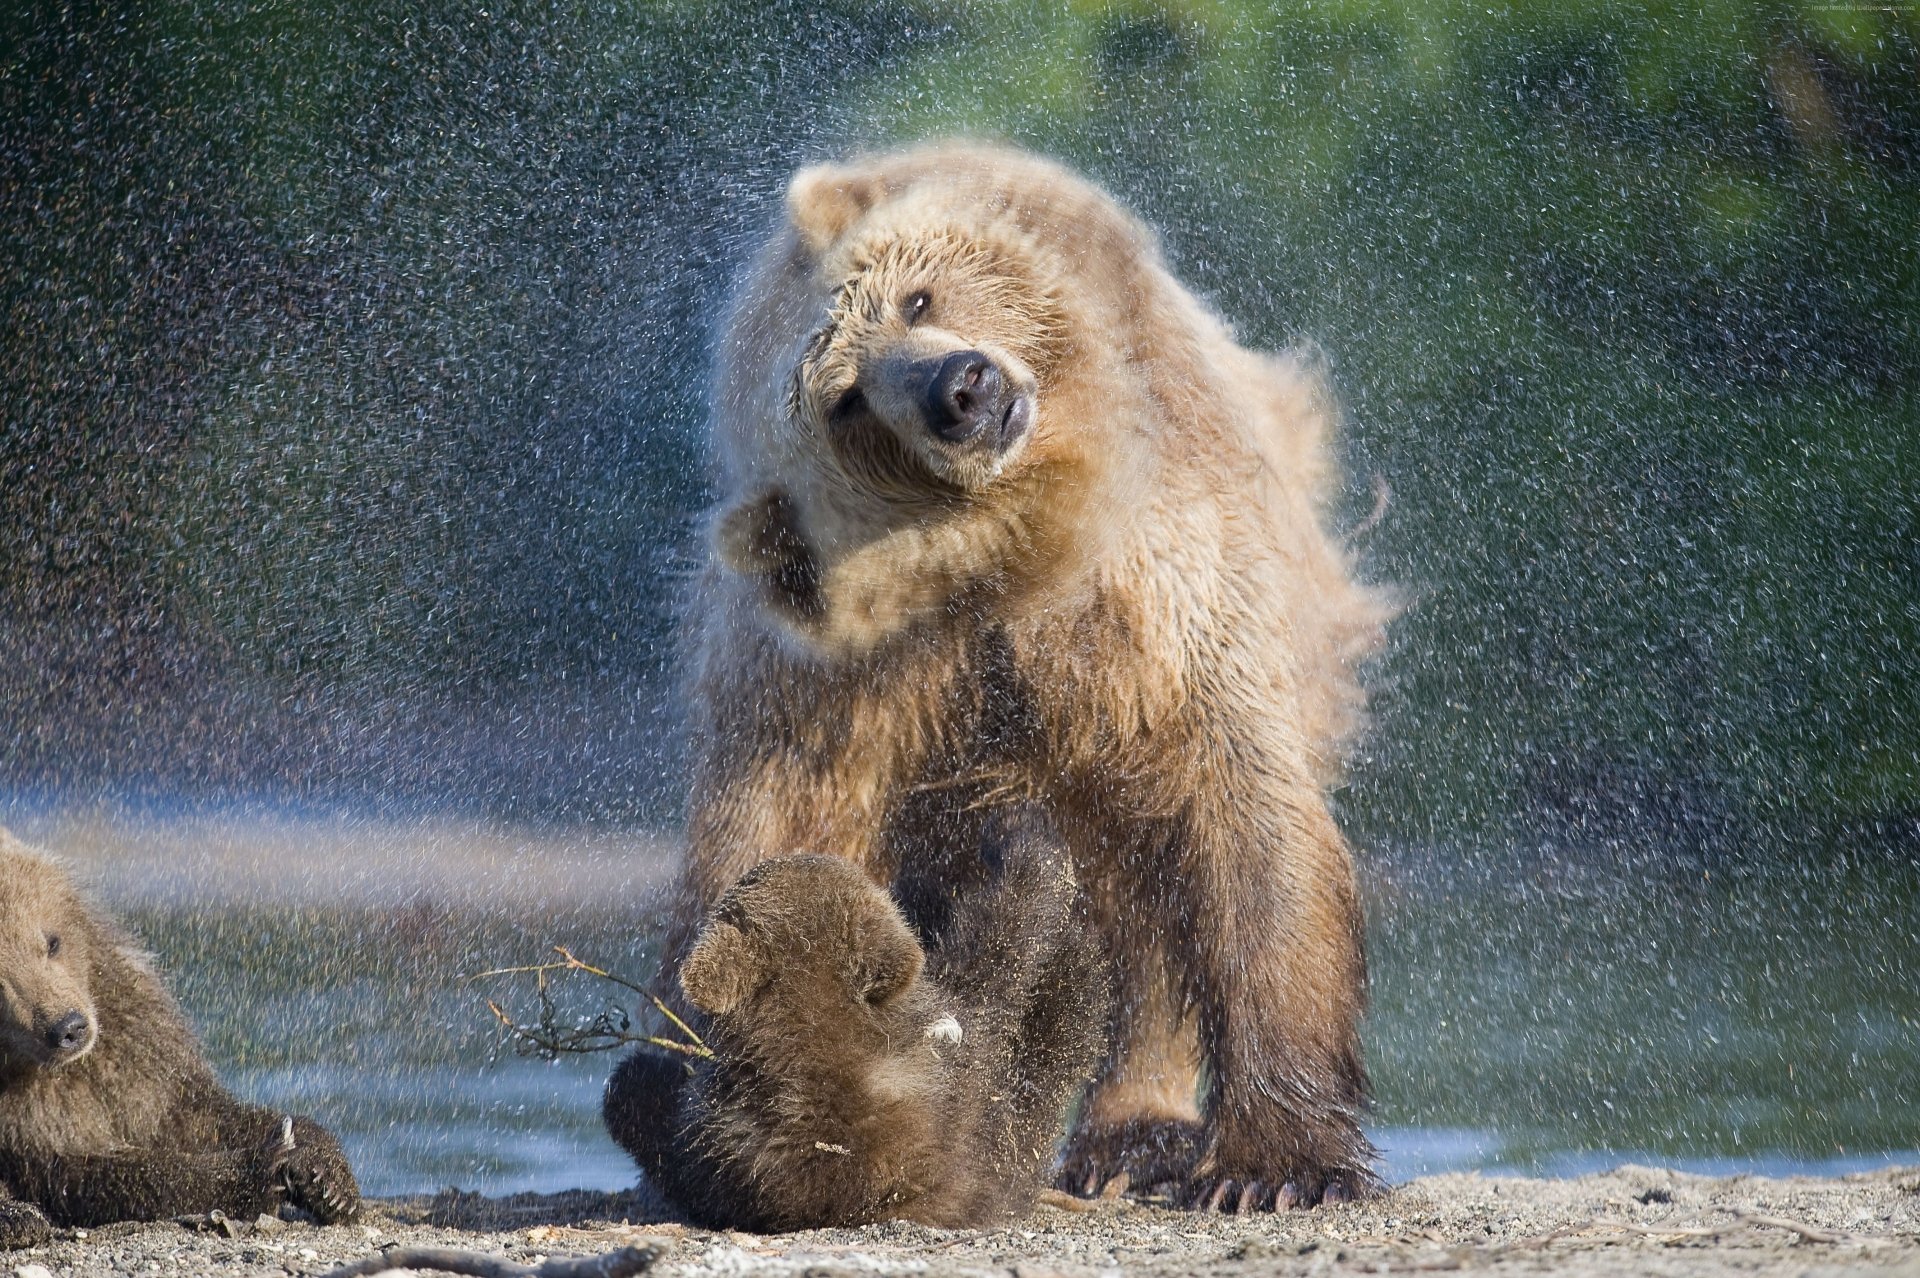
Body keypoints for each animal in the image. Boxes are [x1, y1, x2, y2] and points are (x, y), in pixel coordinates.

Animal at [0, 826, 360, 1247]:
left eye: (52, 942)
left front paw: (321, 1172)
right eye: (0, 980)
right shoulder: (25, 1119)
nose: (69, 1028)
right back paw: (17, 1217)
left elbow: (191, 1113)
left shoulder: (130, 1042)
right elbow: (83, 1171)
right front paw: (260, 1171)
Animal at [664, 140, 1397, 1212]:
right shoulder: (828, 689)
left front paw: (1272, 1167)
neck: (1012, 558)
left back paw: (1131, 1133)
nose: (962, 389)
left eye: (917, 297)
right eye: (846, 400)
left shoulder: (1160, 593)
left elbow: (1244, 830)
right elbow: (778, 838)